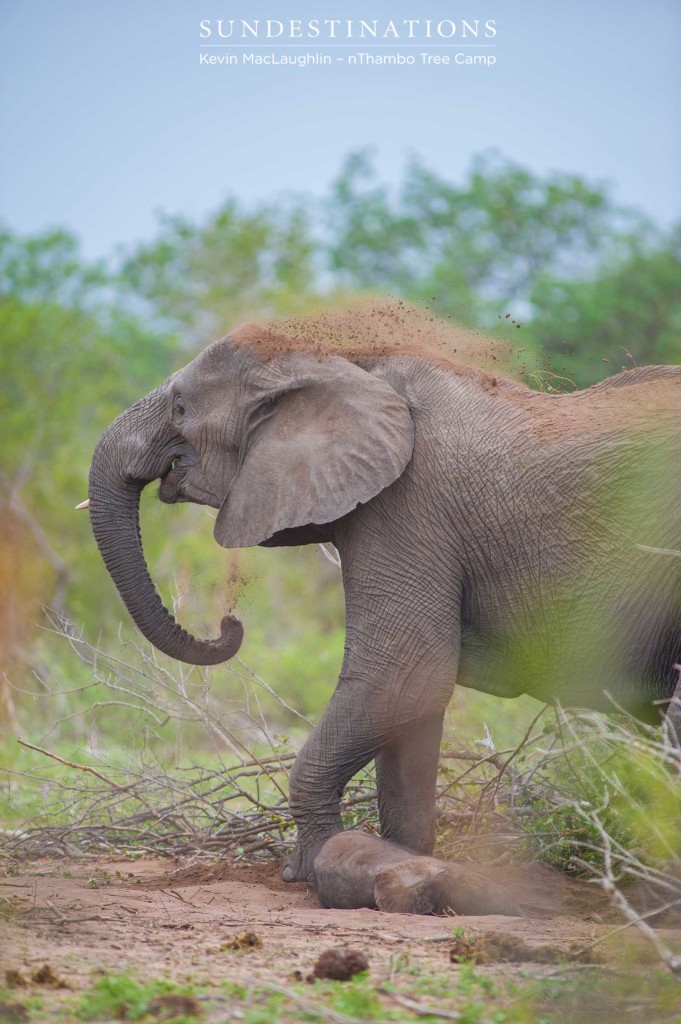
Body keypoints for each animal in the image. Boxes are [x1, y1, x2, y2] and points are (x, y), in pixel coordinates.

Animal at [84, 317, 679, 880]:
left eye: (181, 407)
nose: (230, 624)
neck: (343, 359)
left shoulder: (409, 505)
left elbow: (404, 675)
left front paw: (309, 870)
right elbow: (412, 705)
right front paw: (401, 859)